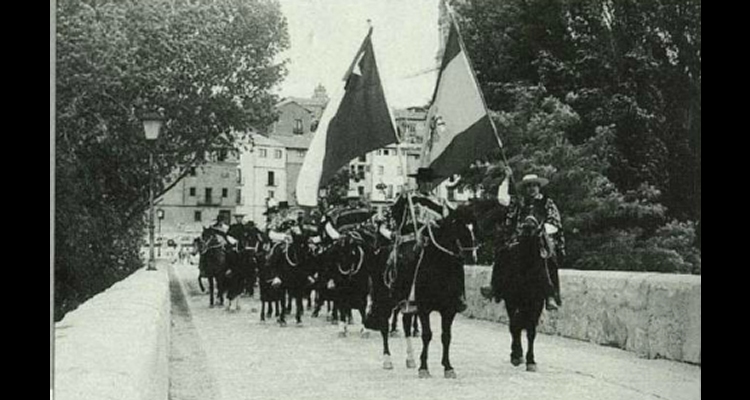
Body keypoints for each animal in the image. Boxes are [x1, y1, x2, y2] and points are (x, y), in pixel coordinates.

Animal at [494, 217, 560, 374]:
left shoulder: (536, 303)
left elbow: (530, 330)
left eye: (537, 233)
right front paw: (516, 355)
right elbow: (514, 326)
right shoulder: (511, 301)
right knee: (514, 325)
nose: (529, 224)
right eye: (523, 228)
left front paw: (531, 361)